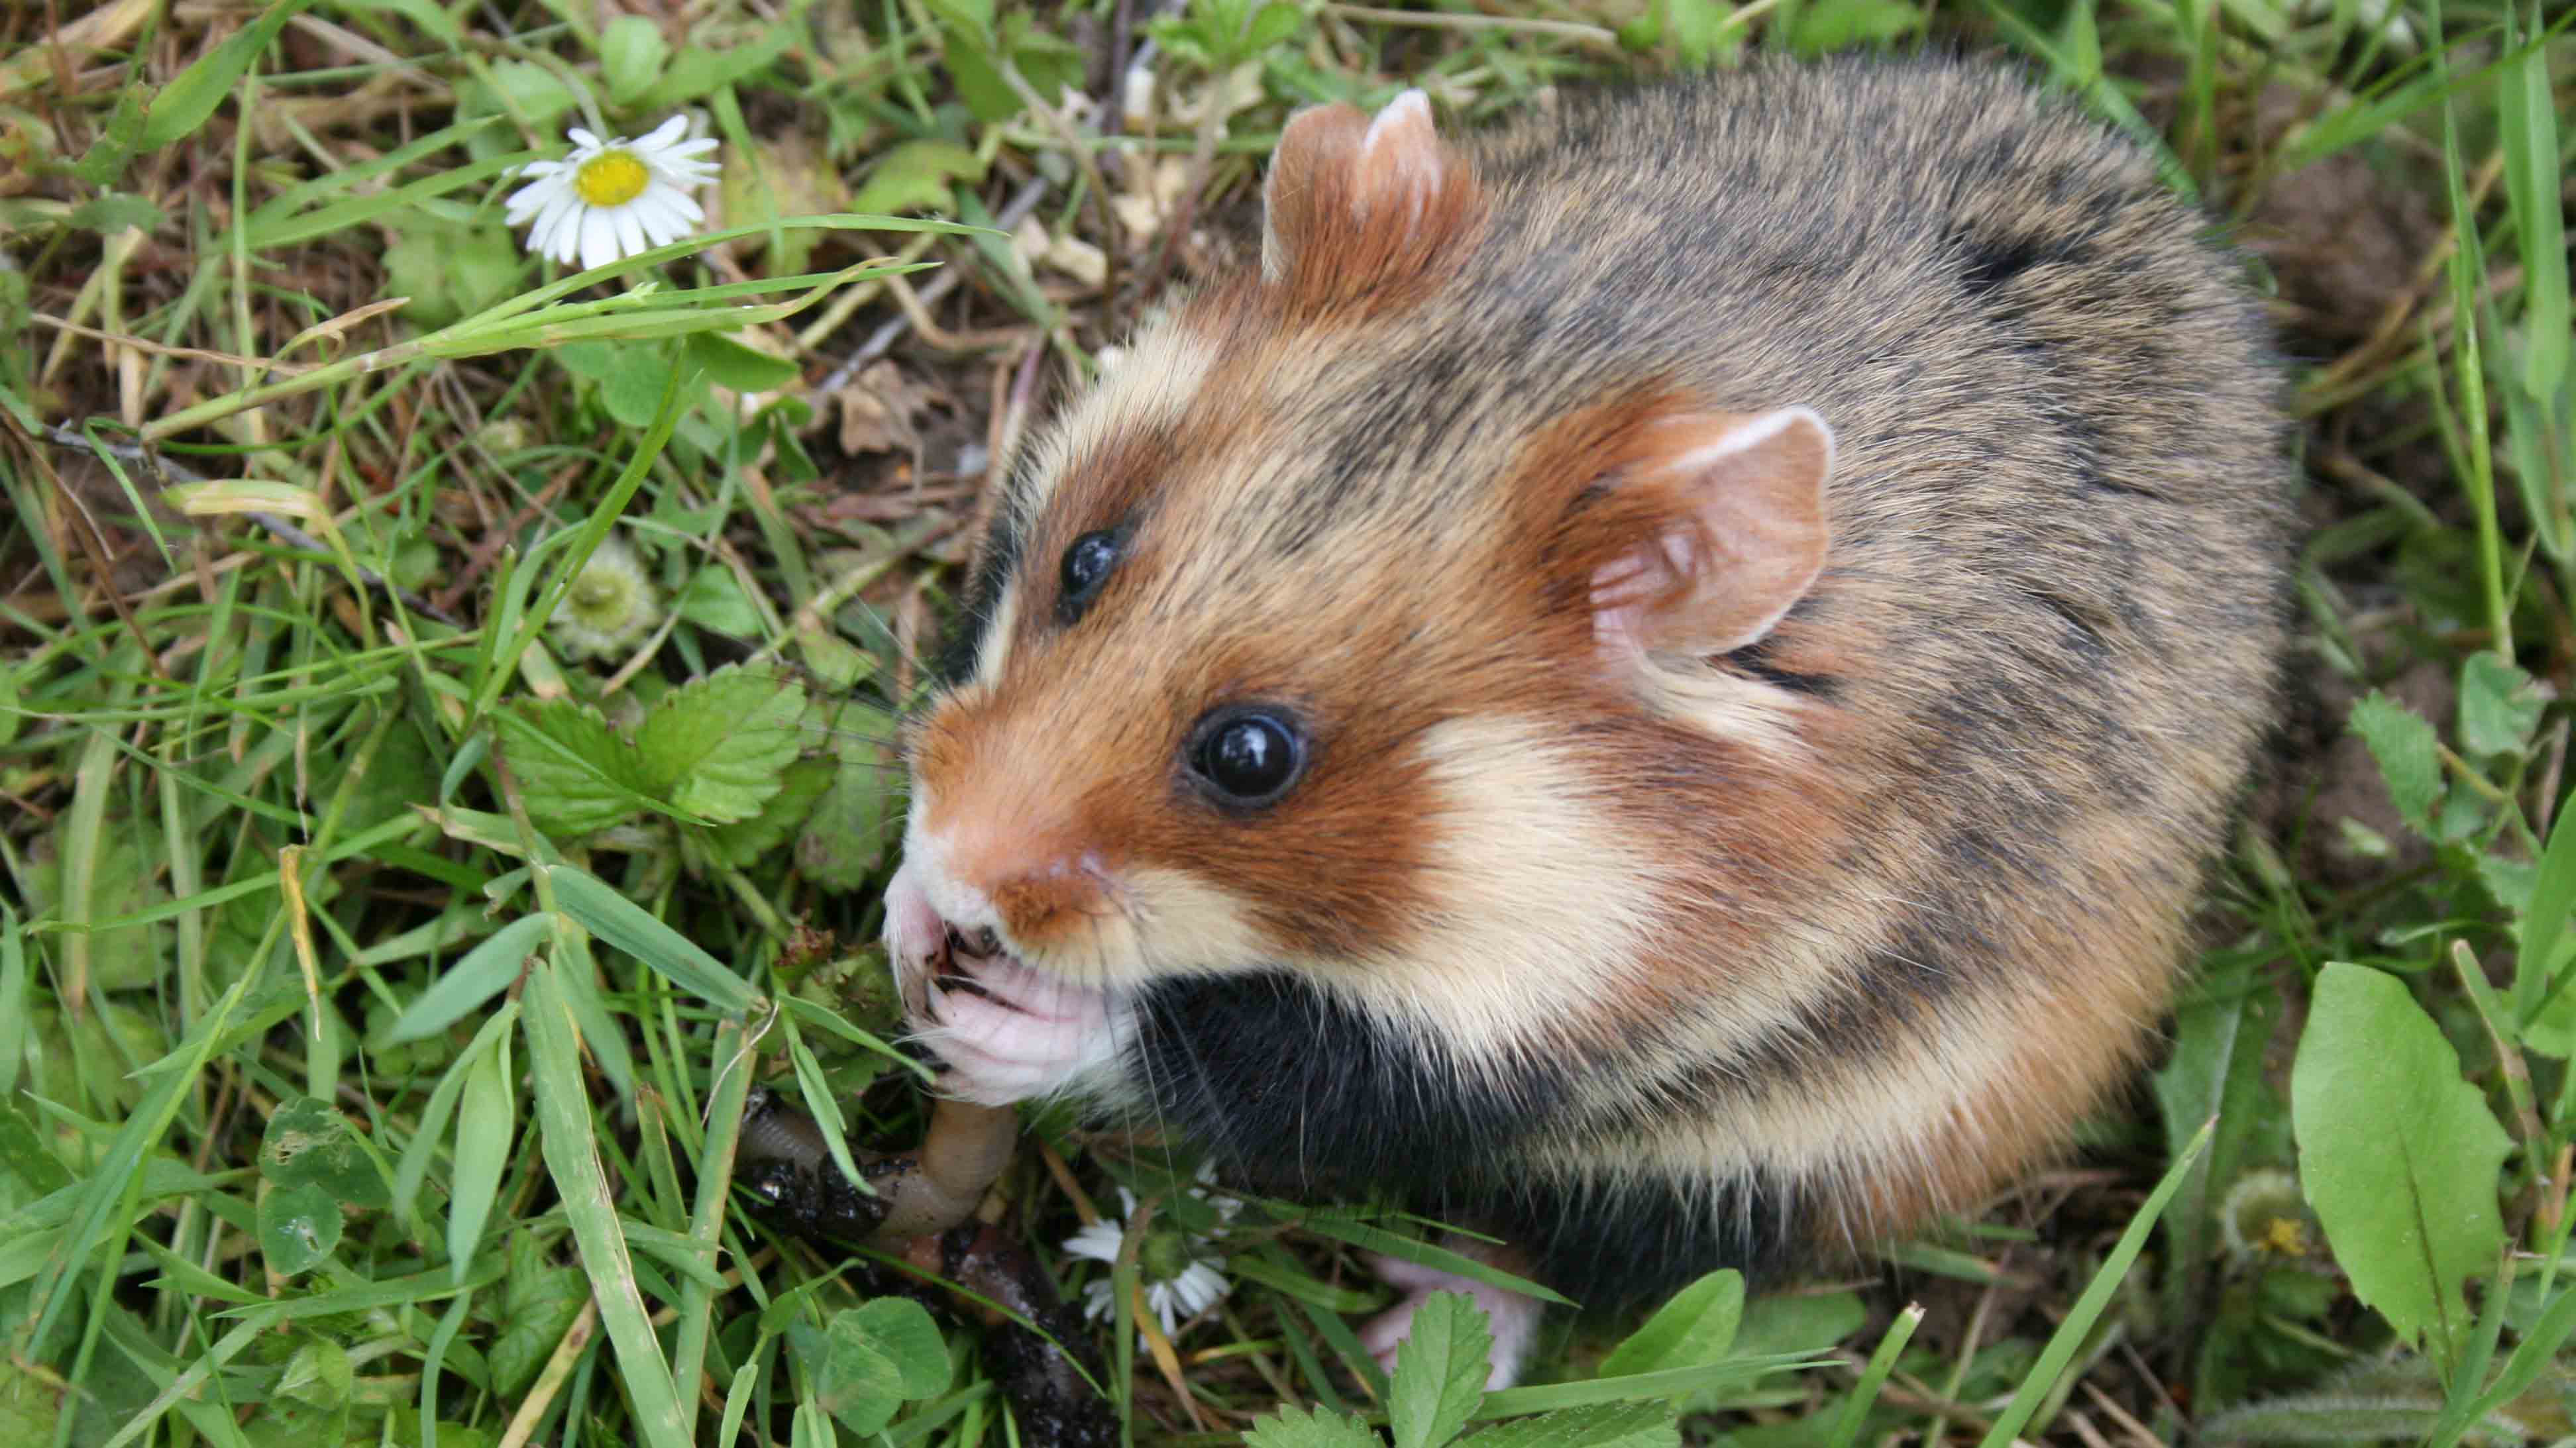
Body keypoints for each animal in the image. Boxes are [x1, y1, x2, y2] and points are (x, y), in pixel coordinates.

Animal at [876, 54, 2289, 1387]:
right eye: (1085, 560)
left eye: (1250, 756)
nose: (957, 872)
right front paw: (906, 921)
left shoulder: (1539, 1025)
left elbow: (1253, 1069)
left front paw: (1002, 1021)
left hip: (1785, 1159)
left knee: (1568, 1259)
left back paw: (1412, 1337)